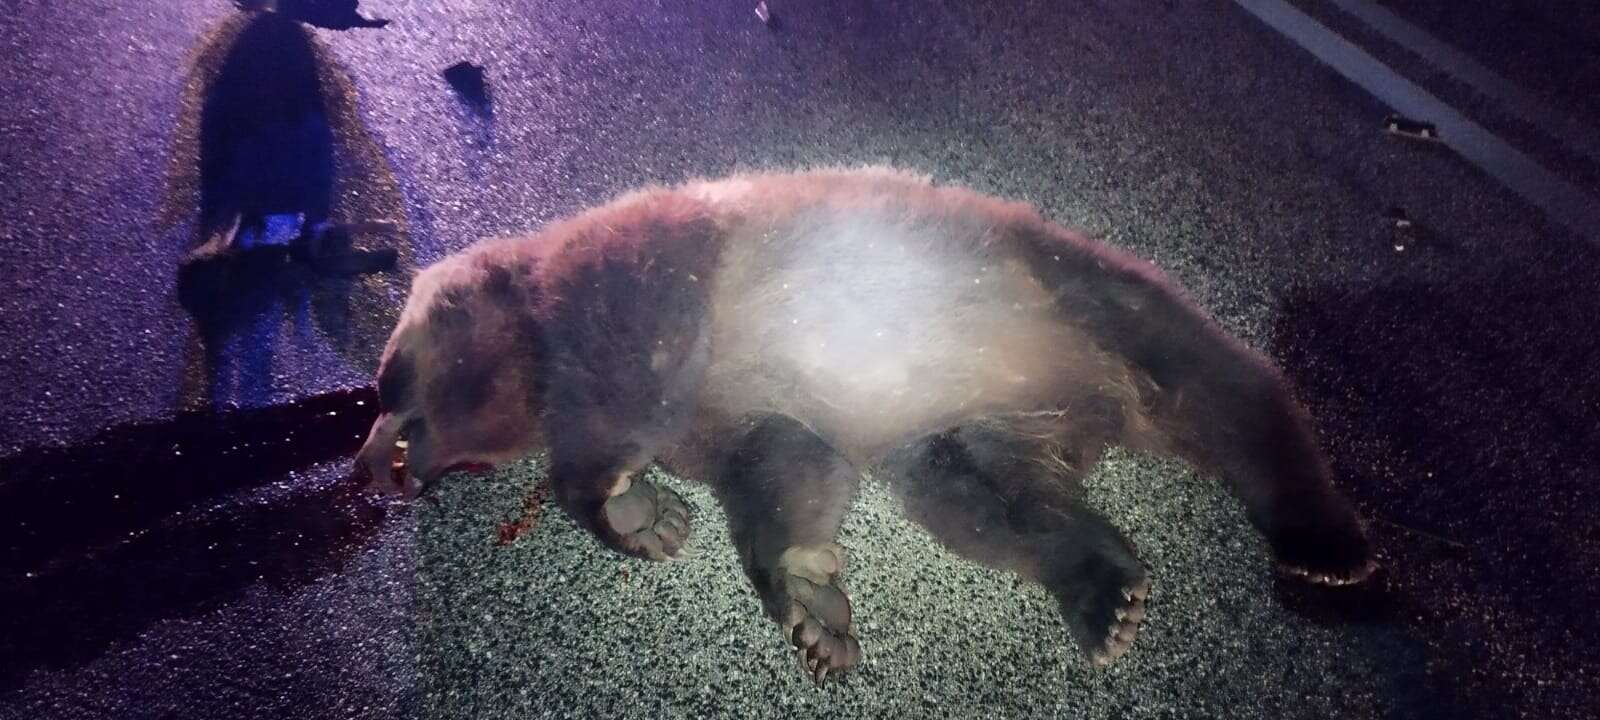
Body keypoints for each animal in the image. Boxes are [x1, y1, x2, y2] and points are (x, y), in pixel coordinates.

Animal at [355, 167, 1376, 684]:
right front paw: (813, 612)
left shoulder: (644, 282)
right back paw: (1103, 595)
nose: (371, 462)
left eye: (384, 374)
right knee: (990, 501)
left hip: (1072, 291)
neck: (538, 336)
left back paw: (1326, 539)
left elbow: (634, 387)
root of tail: (1091, 403)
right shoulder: (736, 404)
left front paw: (624, 504)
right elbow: (783, 461)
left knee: (1222, 388)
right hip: (966, 421)